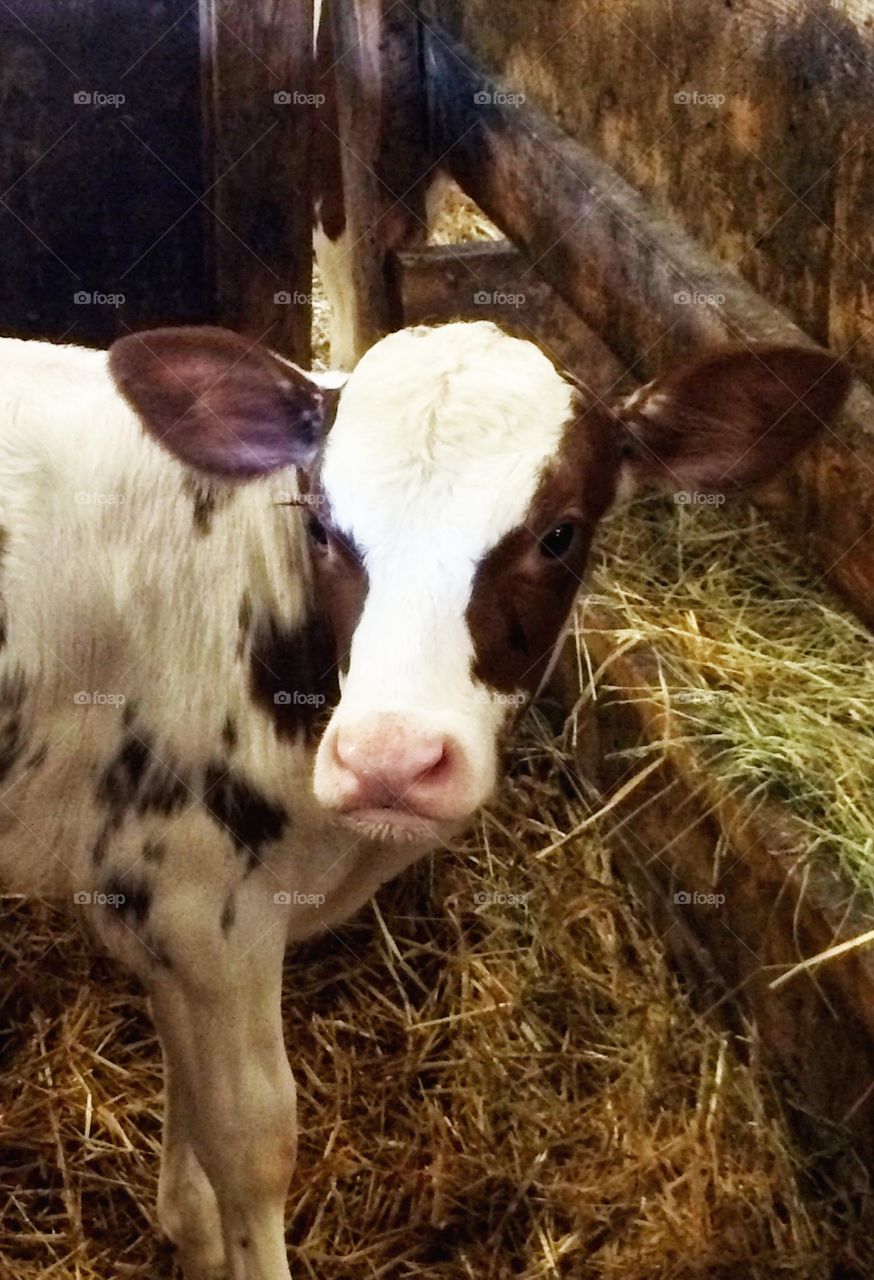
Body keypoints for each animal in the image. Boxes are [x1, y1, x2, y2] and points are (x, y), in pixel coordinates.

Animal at [0, 319, 849, 1279]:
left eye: (559, 534)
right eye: (321, 525)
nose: (392, 759)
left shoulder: (157, 905)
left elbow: (195, 1145)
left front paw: (192, 1234)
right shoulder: (202, 903)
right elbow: (253, 1147)